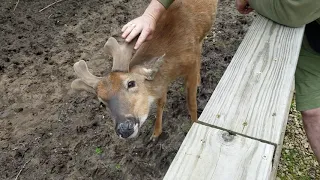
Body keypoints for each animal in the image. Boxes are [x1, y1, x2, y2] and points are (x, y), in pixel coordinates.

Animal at [71, 0, 219, 140]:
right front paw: (155, 134)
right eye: (101, 103)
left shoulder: (190, 64)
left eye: (131, 83)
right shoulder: (163, 82)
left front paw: (195, 124)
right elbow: (160, 102)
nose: (124, 129)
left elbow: (191, 103)